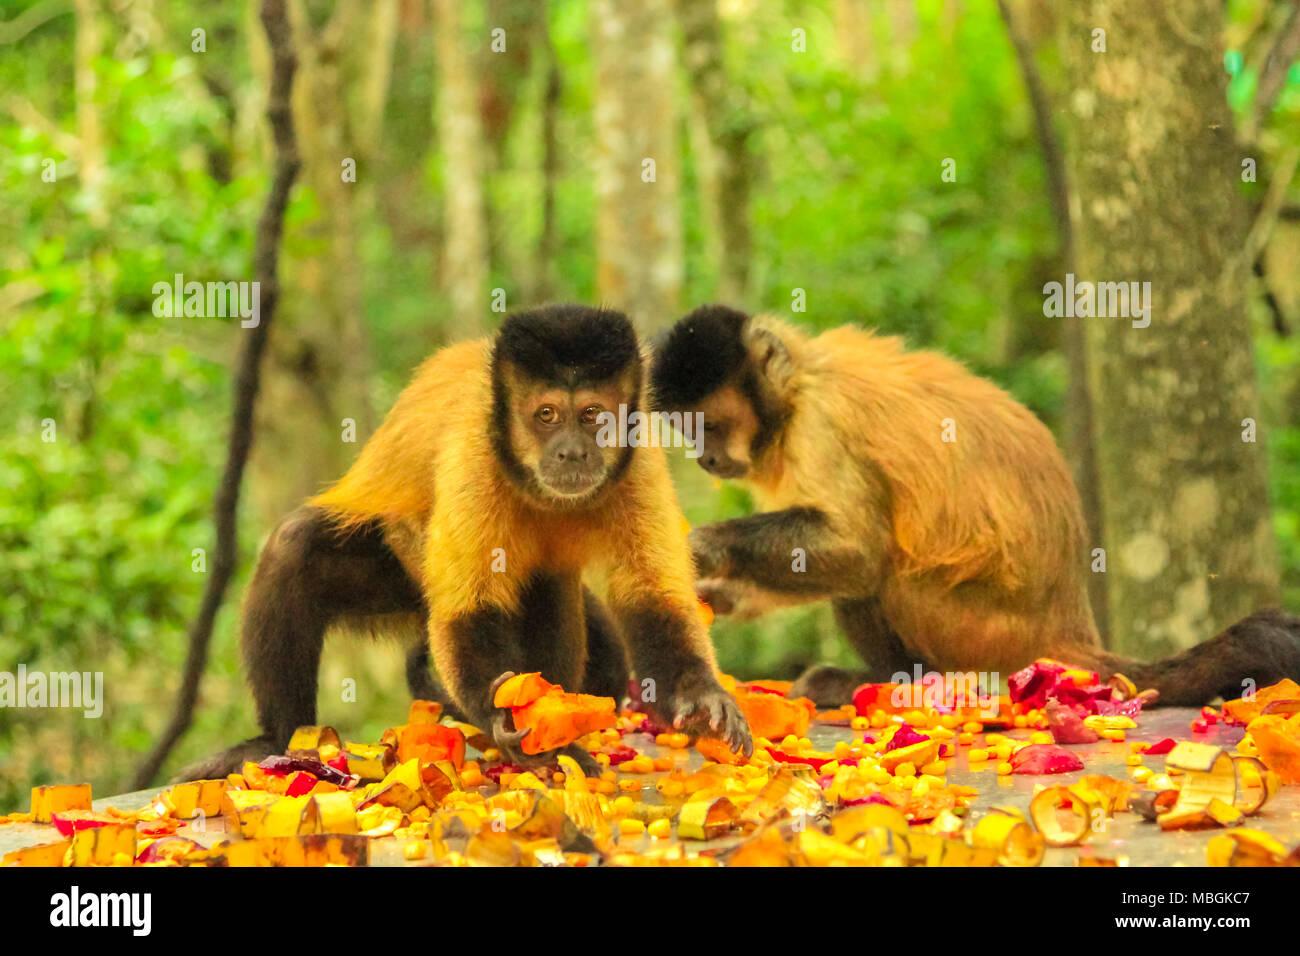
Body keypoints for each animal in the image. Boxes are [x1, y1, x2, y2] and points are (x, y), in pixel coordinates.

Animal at [184, 308, 754, 785]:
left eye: (593, 414)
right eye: (546, 415)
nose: (572, 451)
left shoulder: (639, 461)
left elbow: (653, 597)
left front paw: (699, 698)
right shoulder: (474, 456)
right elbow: (468, 609)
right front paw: (502, 714)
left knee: (548, 587)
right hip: (401, 574)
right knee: (296, 545)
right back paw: (279, 741)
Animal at [647, 306, 1300, 712]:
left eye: (710, 426)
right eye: (689, 430)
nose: (706, 458)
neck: (798, 386)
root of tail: (1067, 631)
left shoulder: (821, 422)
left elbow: (859, 551)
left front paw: (706, 547)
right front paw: (716, 593)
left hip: (983, 636)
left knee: (883, 574)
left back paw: (888, 680)